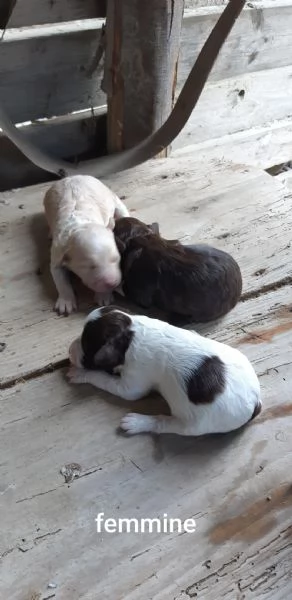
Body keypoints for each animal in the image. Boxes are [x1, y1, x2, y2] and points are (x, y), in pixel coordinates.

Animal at [43, 173, 129, 314]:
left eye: (116, 259)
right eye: (90, 266)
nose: (112, 283)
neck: (81, 225)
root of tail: (72, 176)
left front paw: (103, 296)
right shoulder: (57, 252)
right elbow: (60, 280)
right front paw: (66, 301)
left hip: (113, 198)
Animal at [67, 308, 262, 438]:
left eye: (86, 346)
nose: (69, 350)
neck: (131, 334)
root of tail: (255, 401)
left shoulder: (132, 384)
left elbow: (103, 378)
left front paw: (80, 373)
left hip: (195, 423)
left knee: (164, 423)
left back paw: (136, 422)